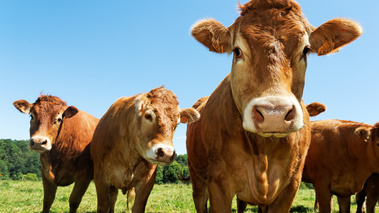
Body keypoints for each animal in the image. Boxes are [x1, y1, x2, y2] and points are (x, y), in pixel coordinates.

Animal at [187, 0, 362, 212]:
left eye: (305, 50)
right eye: (237, 51)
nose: (274, 113)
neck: (263, 151)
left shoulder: (291, 185)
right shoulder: (218, 183)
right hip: (197, 177)